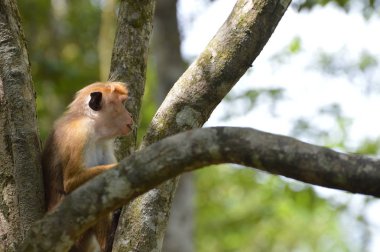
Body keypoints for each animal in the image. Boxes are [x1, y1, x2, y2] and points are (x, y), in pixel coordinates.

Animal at [41, 81, 134, 251]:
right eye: (122, 104)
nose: (130, 116)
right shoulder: (81, 133)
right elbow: (71, 183)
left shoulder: (105, 143)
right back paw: (107, 242)